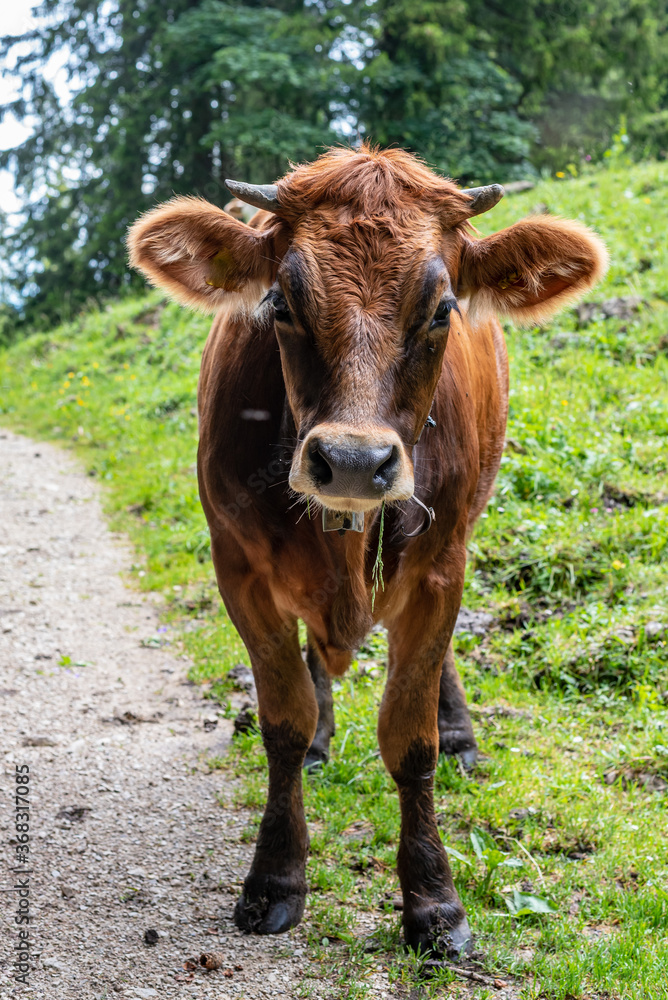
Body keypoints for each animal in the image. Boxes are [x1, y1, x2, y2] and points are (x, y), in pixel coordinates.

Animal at [128, 145, 607, 957]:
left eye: (442, 309)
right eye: (280, 304)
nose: (353, 462)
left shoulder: (443, 565)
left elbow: (410, 740)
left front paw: (434, 904)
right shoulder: (238, 566)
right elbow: (283, 721)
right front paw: (275, 880)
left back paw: (460, 733)